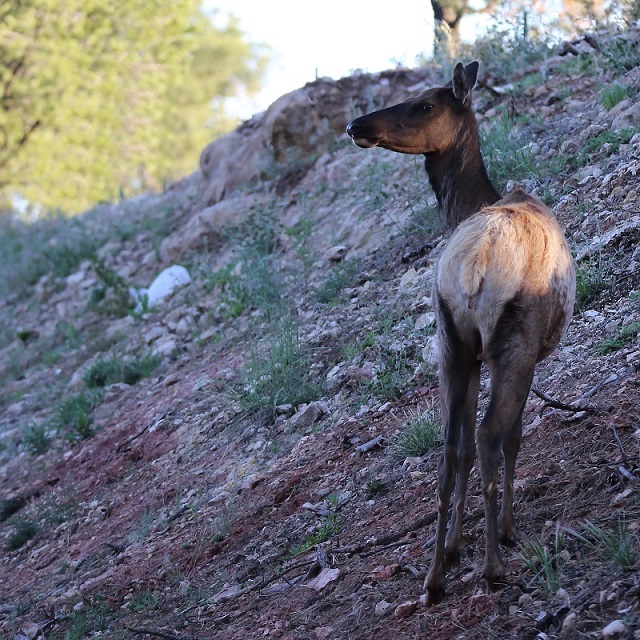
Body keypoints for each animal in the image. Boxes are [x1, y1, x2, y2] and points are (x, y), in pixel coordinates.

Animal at [348, 62, 576, 604]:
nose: (356, 125)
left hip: (451, 342)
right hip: (513, 342)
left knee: (452, 448)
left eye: (424, 104)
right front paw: (507, 530)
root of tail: (475, 267)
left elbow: (464, 448)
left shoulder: (471, 355)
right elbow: (513, 436)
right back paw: (494, 565)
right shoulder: (522, 355)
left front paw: (454, 546)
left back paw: (434, 577)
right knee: (492, 434)